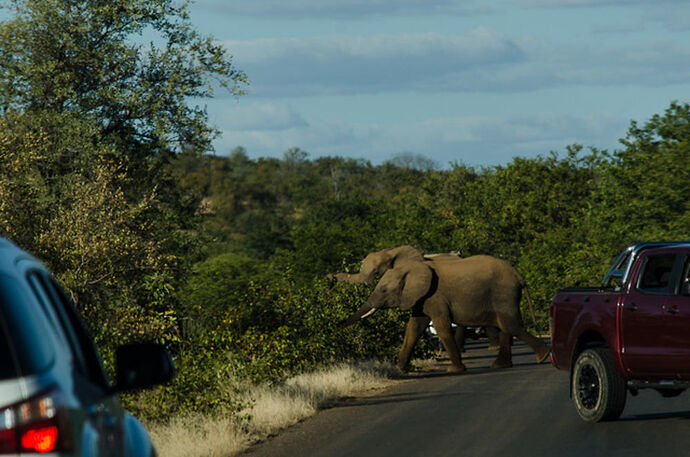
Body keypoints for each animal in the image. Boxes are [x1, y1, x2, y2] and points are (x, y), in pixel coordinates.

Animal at [338, 255, 548, 372]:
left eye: (383, 290)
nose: (336, 325)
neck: (411, 267)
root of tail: (519, 276)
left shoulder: (434, 296)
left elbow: (441, 326)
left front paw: (455, 370)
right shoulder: (420, 298)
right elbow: (414, 327)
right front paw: (400, 371)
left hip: (503, 292)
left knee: (510, 325)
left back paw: (543, 357)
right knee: (505, 325)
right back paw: (502, 365)